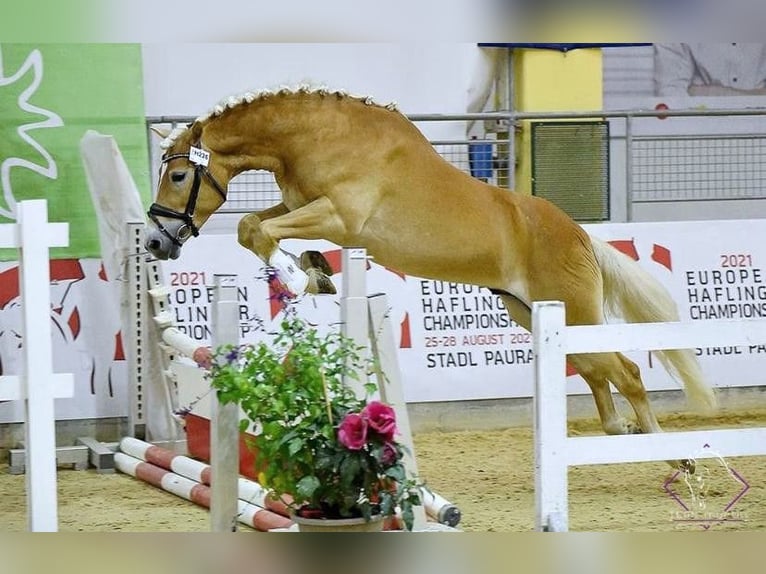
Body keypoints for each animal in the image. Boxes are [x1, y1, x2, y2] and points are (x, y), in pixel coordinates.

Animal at [144, 85, 717, 457]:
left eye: (179, 176)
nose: (154, 241)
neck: (317, 137)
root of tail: (578, 234)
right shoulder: (302, 207)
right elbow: (251, 227)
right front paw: (314, 271)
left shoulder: (338, 216)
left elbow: (258, 231)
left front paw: (298, 277)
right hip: (534, 311)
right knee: (600, 372)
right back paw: (622, 432)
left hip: (573, 312)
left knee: (627, 372)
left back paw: (673, 455)